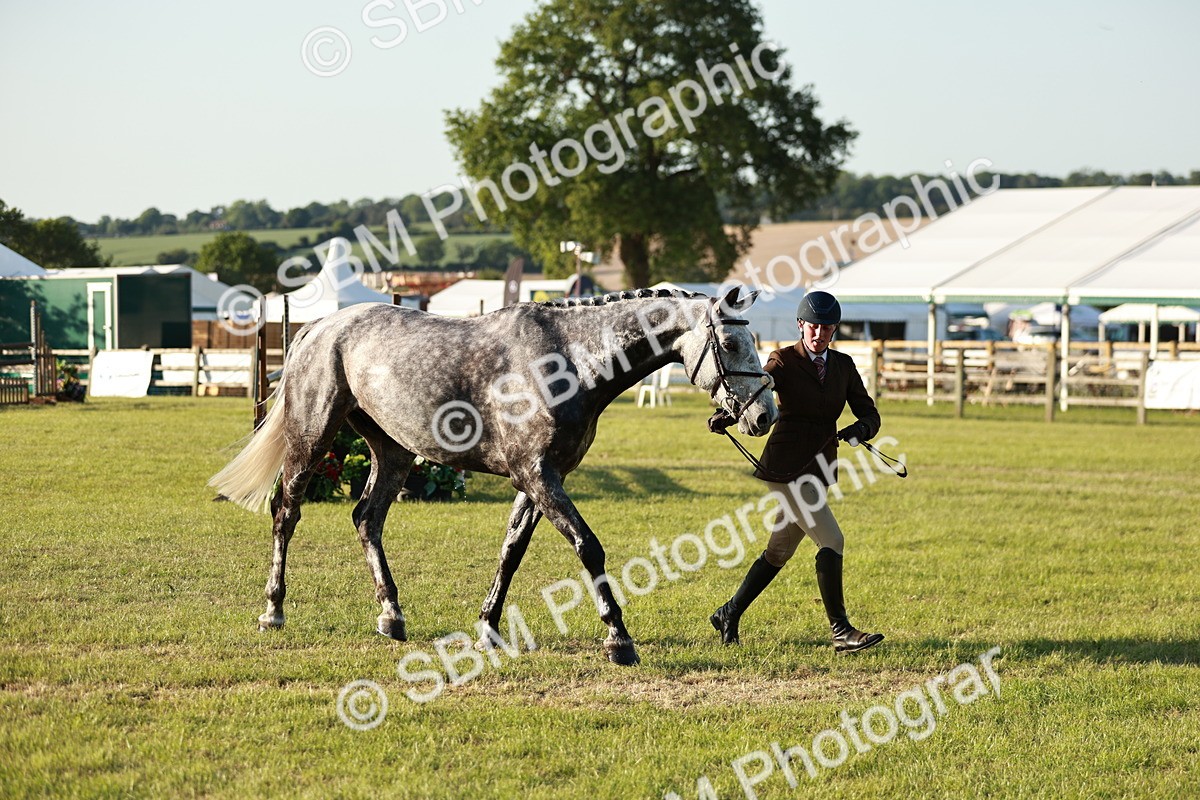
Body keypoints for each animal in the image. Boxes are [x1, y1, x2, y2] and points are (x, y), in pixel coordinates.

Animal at [209, 286, 778, 665]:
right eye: (731, 344)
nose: (763, 415)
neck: (569, 360)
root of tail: (320, 327)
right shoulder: (539, 477)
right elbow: (588, 548)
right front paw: (619, 639)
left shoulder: (537, 481)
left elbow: (511, 551)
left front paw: (488, 628)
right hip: (312, 437)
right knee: (286, 513)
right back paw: (273, 610)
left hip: (393, 452)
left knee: (367, 519)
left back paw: (392, 616)